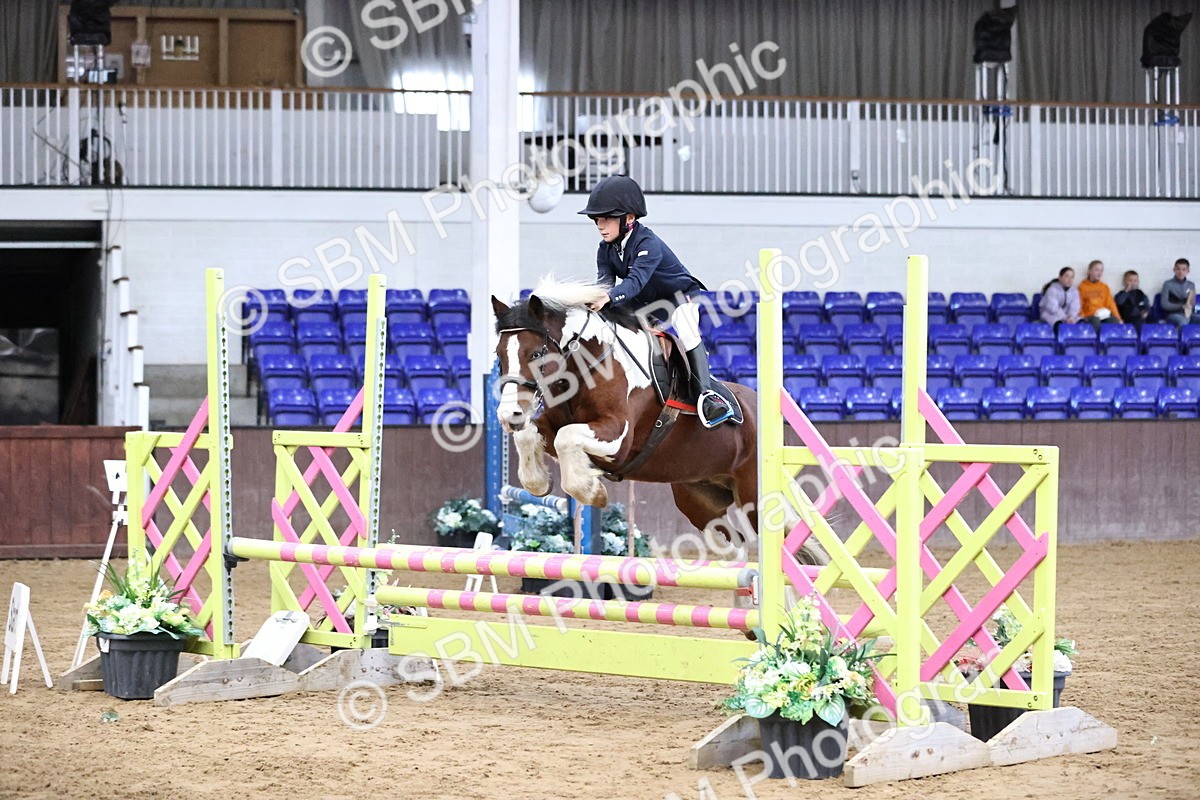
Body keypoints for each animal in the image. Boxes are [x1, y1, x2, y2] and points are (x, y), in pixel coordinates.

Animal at [491, 277, 824, 567]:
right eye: (499, 354)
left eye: (536, 354)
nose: (509, 415)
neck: (591, 363)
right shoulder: (554, 423)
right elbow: (530, 436)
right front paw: (540, 481)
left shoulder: (617, 436)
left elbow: (566, 439)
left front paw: (593, 492)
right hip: (699, 499)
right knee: (735, 548)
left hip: (754, 497)